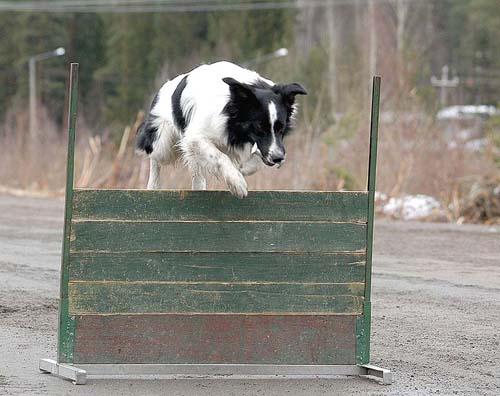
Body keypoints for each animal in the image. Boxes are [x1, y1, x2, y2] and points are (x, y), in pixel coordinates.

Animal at [139, 61, 306, 197]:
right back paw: (153, 186)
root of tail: (163, 88)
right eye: (259, 128)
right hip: (164, 143)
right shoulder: (195, 137)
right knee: (155, 158)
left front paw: (242, 169)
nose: (279, 158)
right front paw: (237, 182)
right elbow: (219, 156)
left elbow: (255, 162)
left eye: (281, 128)